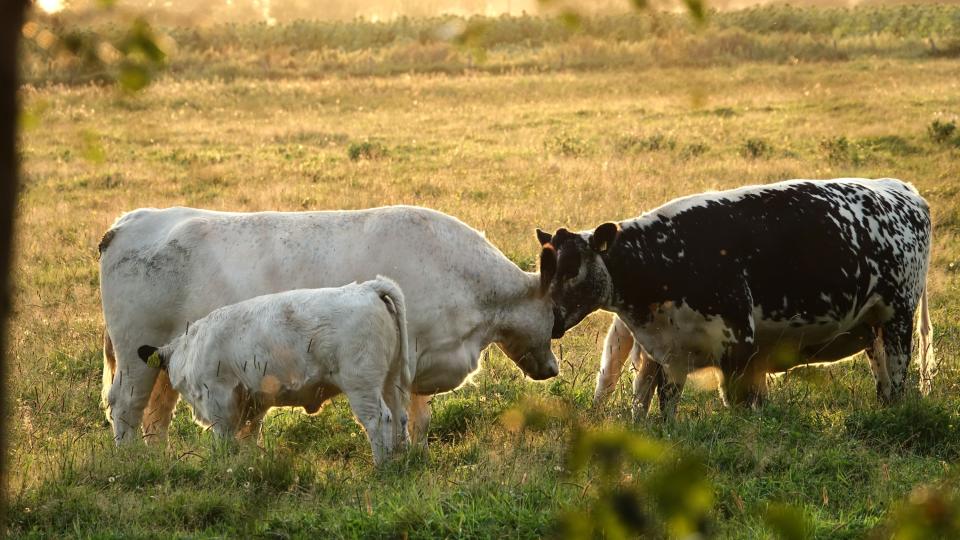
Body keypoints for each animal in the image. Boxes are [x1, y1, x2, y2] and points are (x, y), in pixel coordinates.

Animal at [100, 206, 559, 445]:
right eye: (555, 315)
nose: (553, 368)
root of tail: (126, 224)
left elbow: (415, 419)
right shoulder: (411, 359)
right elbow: (410, 417)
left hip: (161, 363)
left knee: (156, 417)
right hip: (134, 360)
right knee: (126, 409)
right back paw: (130, 462)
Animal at [135, 277, 412, 465]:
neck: (191, 347)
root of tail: (368, 287)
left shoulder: (219, 398)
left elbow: (223, 438)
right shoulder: (252, 402)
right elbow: (248, 437)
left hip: (361, 384)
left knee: (379, 419)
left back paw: (381, 466)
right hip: (390, 381)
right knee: (399, 416)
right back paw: (402, 460)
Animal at [536, 178, 934, 419]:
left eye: (571, 269)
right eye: (545, 270)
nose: (550, 320)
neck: (665, 256)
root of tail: (901, 188)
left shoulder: (739, 345)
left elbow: (740, 405)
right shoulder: (669, 352)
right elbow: (664, 405)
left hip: (898, 318)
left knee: (898, 373)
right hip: (872, 328)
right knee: (884, 380)